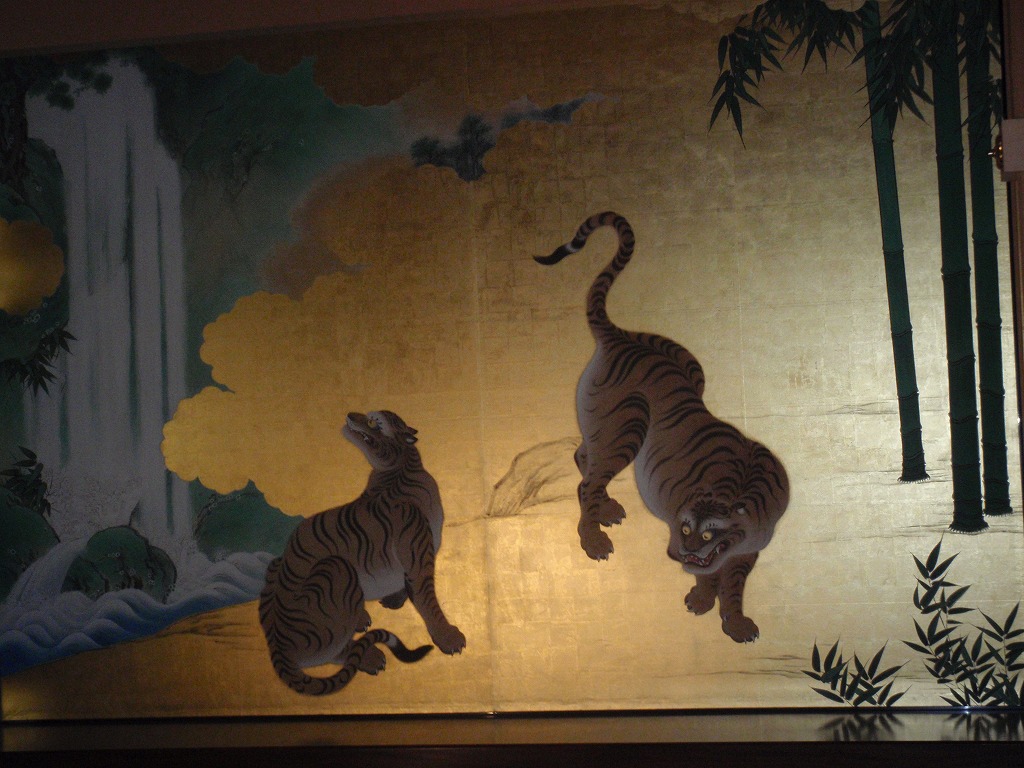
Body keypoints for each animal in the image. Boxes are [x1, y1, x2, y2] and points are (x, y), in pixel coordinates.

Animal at [258, 410, 466, 695]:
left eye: (371, 421)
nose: (348, 415)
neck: (402, 469)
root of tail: (277, 644)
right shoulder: (417, 552)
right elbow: (428, 600)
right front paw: (449, 638)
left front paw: (393, 600)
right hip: (336, 567)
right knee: (333, 652)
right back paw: (371, 656)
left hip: (276, 565)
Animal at [535, 212, 789, 643]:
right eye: (684, 527)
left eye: (707, 533)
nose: (677, 552)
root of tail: (621, 336)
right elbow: (711, 577)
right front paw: (701, 602)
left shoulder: (746, 552)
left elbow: (733, 585)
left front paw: (735, 623)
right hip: (628, 426)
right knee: (588, 479)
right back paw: (595, 540)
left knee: (584, 457)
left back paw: (607, 509)